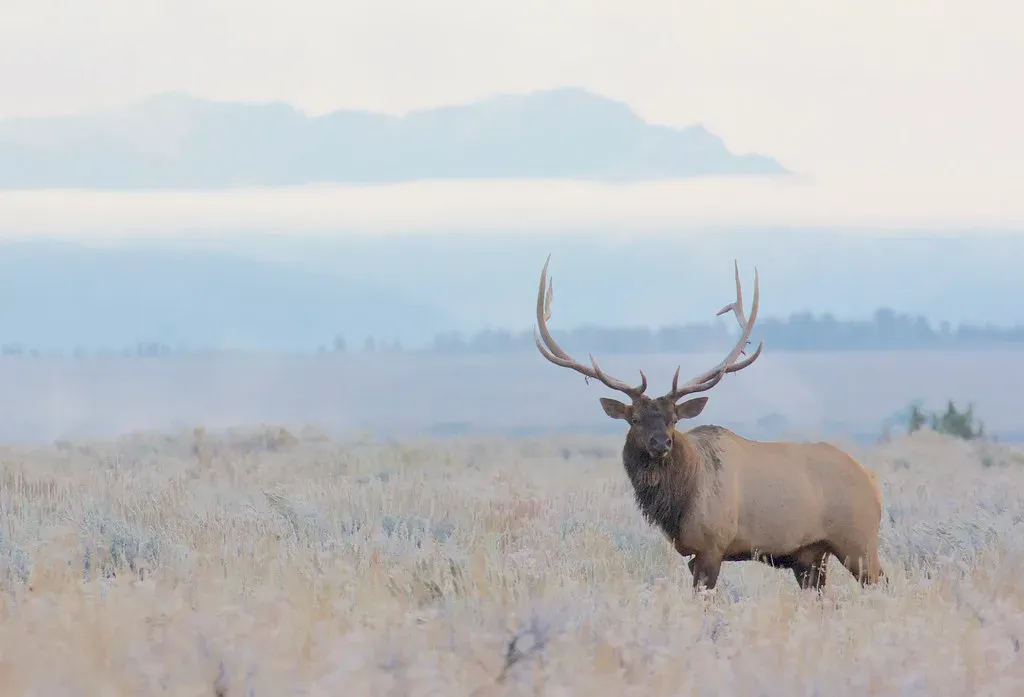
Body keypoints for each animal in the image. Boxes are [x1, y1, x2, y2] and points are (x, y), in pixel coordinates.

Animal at [533, 255, 885, 592]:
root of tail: (872, 482)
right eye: (634, 419)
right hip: (811, 555)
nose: (661, 443)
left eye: (674, 419)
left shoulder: (713, 545)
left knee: (882, 583)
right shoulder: (694, 554)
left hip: (859, 543)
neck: (679, 501)